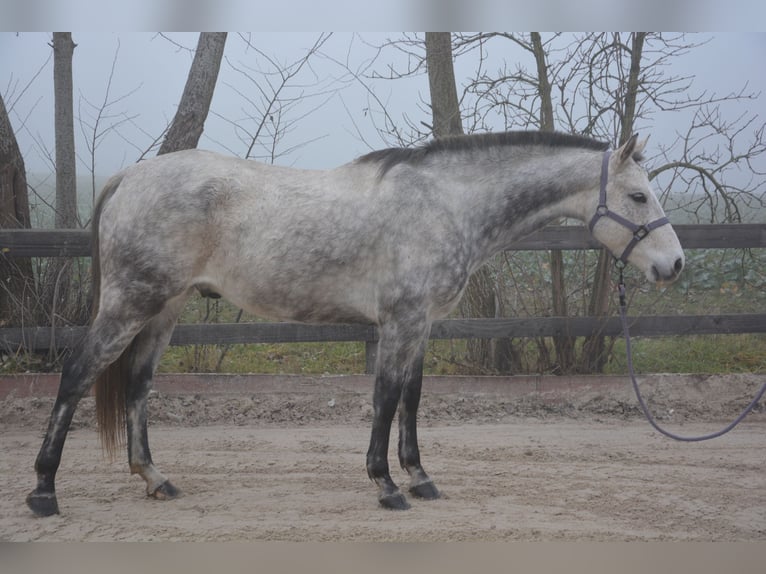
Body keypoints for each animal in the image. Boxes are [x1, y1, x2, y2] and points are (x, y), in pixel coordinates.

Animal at [26, 131, 684, 516]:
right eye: (639, 196)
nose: (674, 264)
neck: (446, 203)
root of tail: (130, 176)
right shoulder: (399, 322)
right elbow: (386, 397)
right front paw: (386, 485)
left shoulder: (420, 325)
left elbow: (412, 399)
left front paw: (420, 477)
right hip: (130, 304)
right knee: (76, 375)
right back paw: (43, 491)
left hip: (164, 309)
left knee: (137, 384)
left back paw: (155, 478)